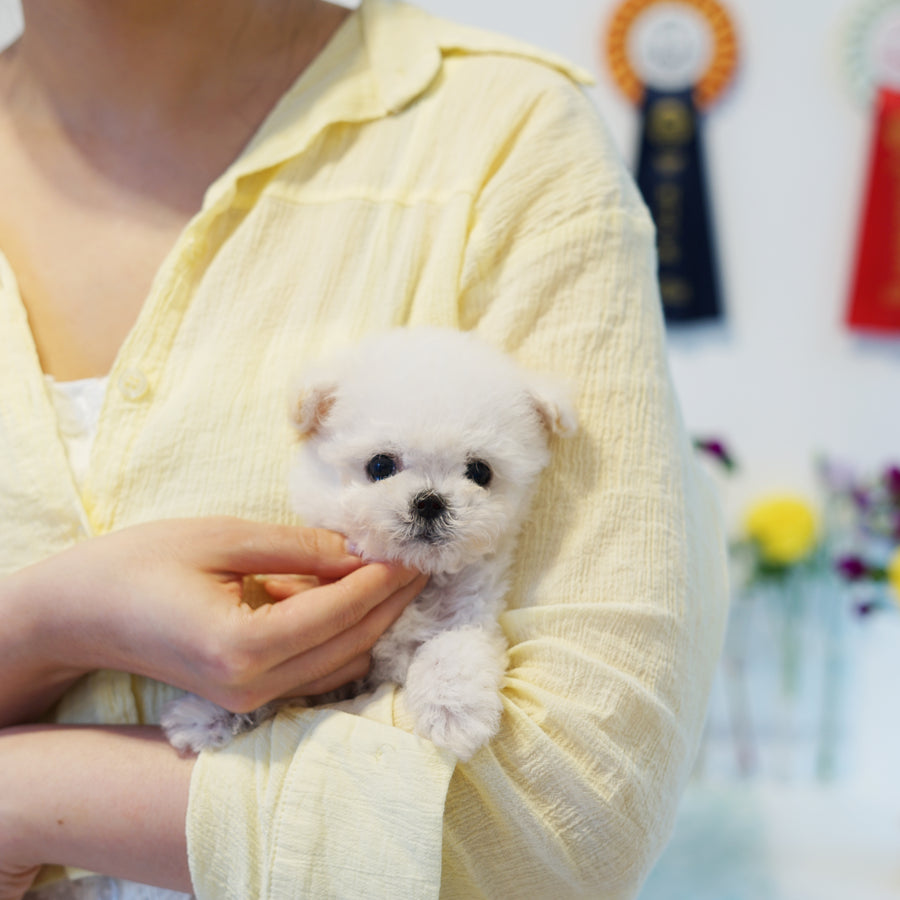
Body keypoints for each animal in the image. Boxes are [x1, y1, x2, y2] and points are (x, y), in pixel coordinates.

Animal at [163, 326, 576, 764]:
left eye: (480, 472)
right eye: (380, 466)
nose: (430, 501)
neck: (422, 578)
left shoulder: (472, 615)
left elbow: (454, 648)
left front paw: (453, 712)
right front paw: (204, 712)